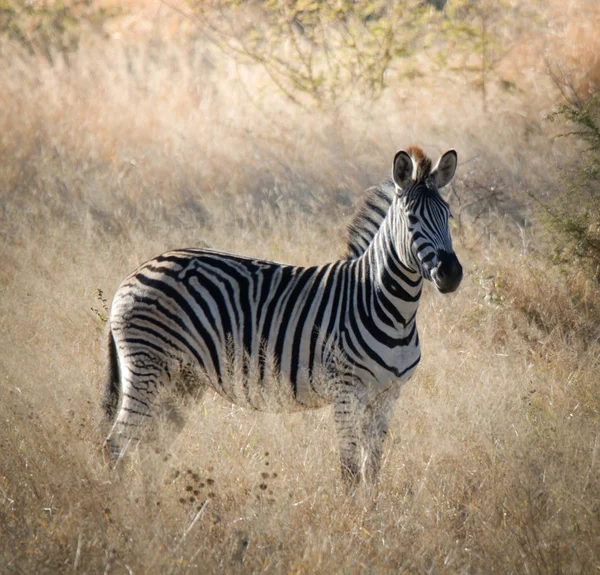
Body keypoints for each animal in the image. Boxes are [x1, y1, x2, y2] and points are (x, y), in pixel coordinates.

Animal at [103, 146, 462, 484]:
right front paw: (350, 511)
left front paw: (372, 509)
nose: (451, 274)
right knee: (116, 445)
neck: (389, 308)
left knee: (151, 446)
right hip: (148, 366)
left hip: (182, 378)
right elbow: (349, 470)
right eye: (411, 218)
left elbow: (372, 469)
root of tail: (136, 271)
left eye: (448, 215)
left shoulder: (388, 395)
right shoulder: (346, 391)